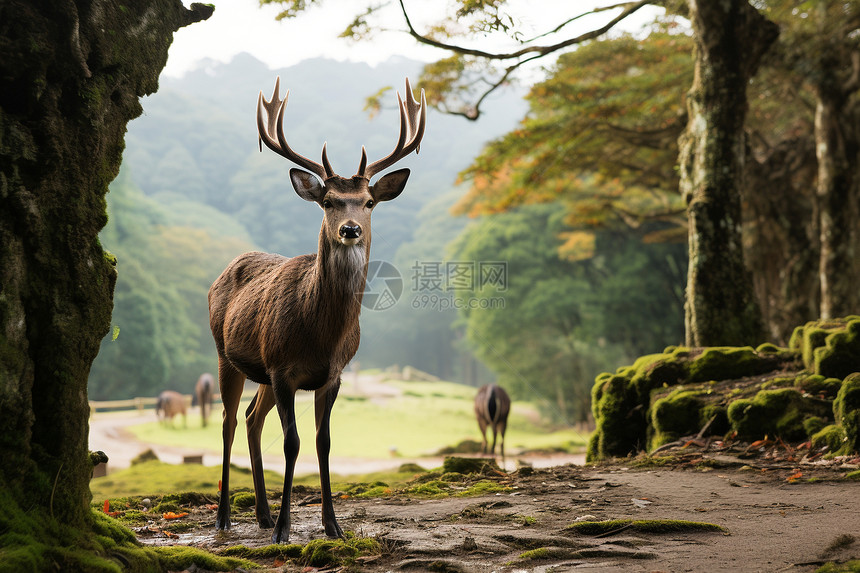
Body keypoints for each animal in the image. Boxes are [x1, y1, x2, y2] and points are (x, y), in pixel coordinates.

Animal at [208, 78, 424, 544]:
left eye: (368, 202)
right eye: (328, 202)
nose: (350, 229)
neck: (322, 335)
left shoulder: (332, 374)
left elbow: (324, 442)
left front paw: (332, 525)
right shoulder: (282, 368)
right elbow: (293, 443)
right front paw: (285, 530)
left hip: (261, 371)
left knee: (251, 419)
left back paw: (262, 513)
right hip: (225, 353)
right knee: (229, 421)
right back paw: (226, 517)